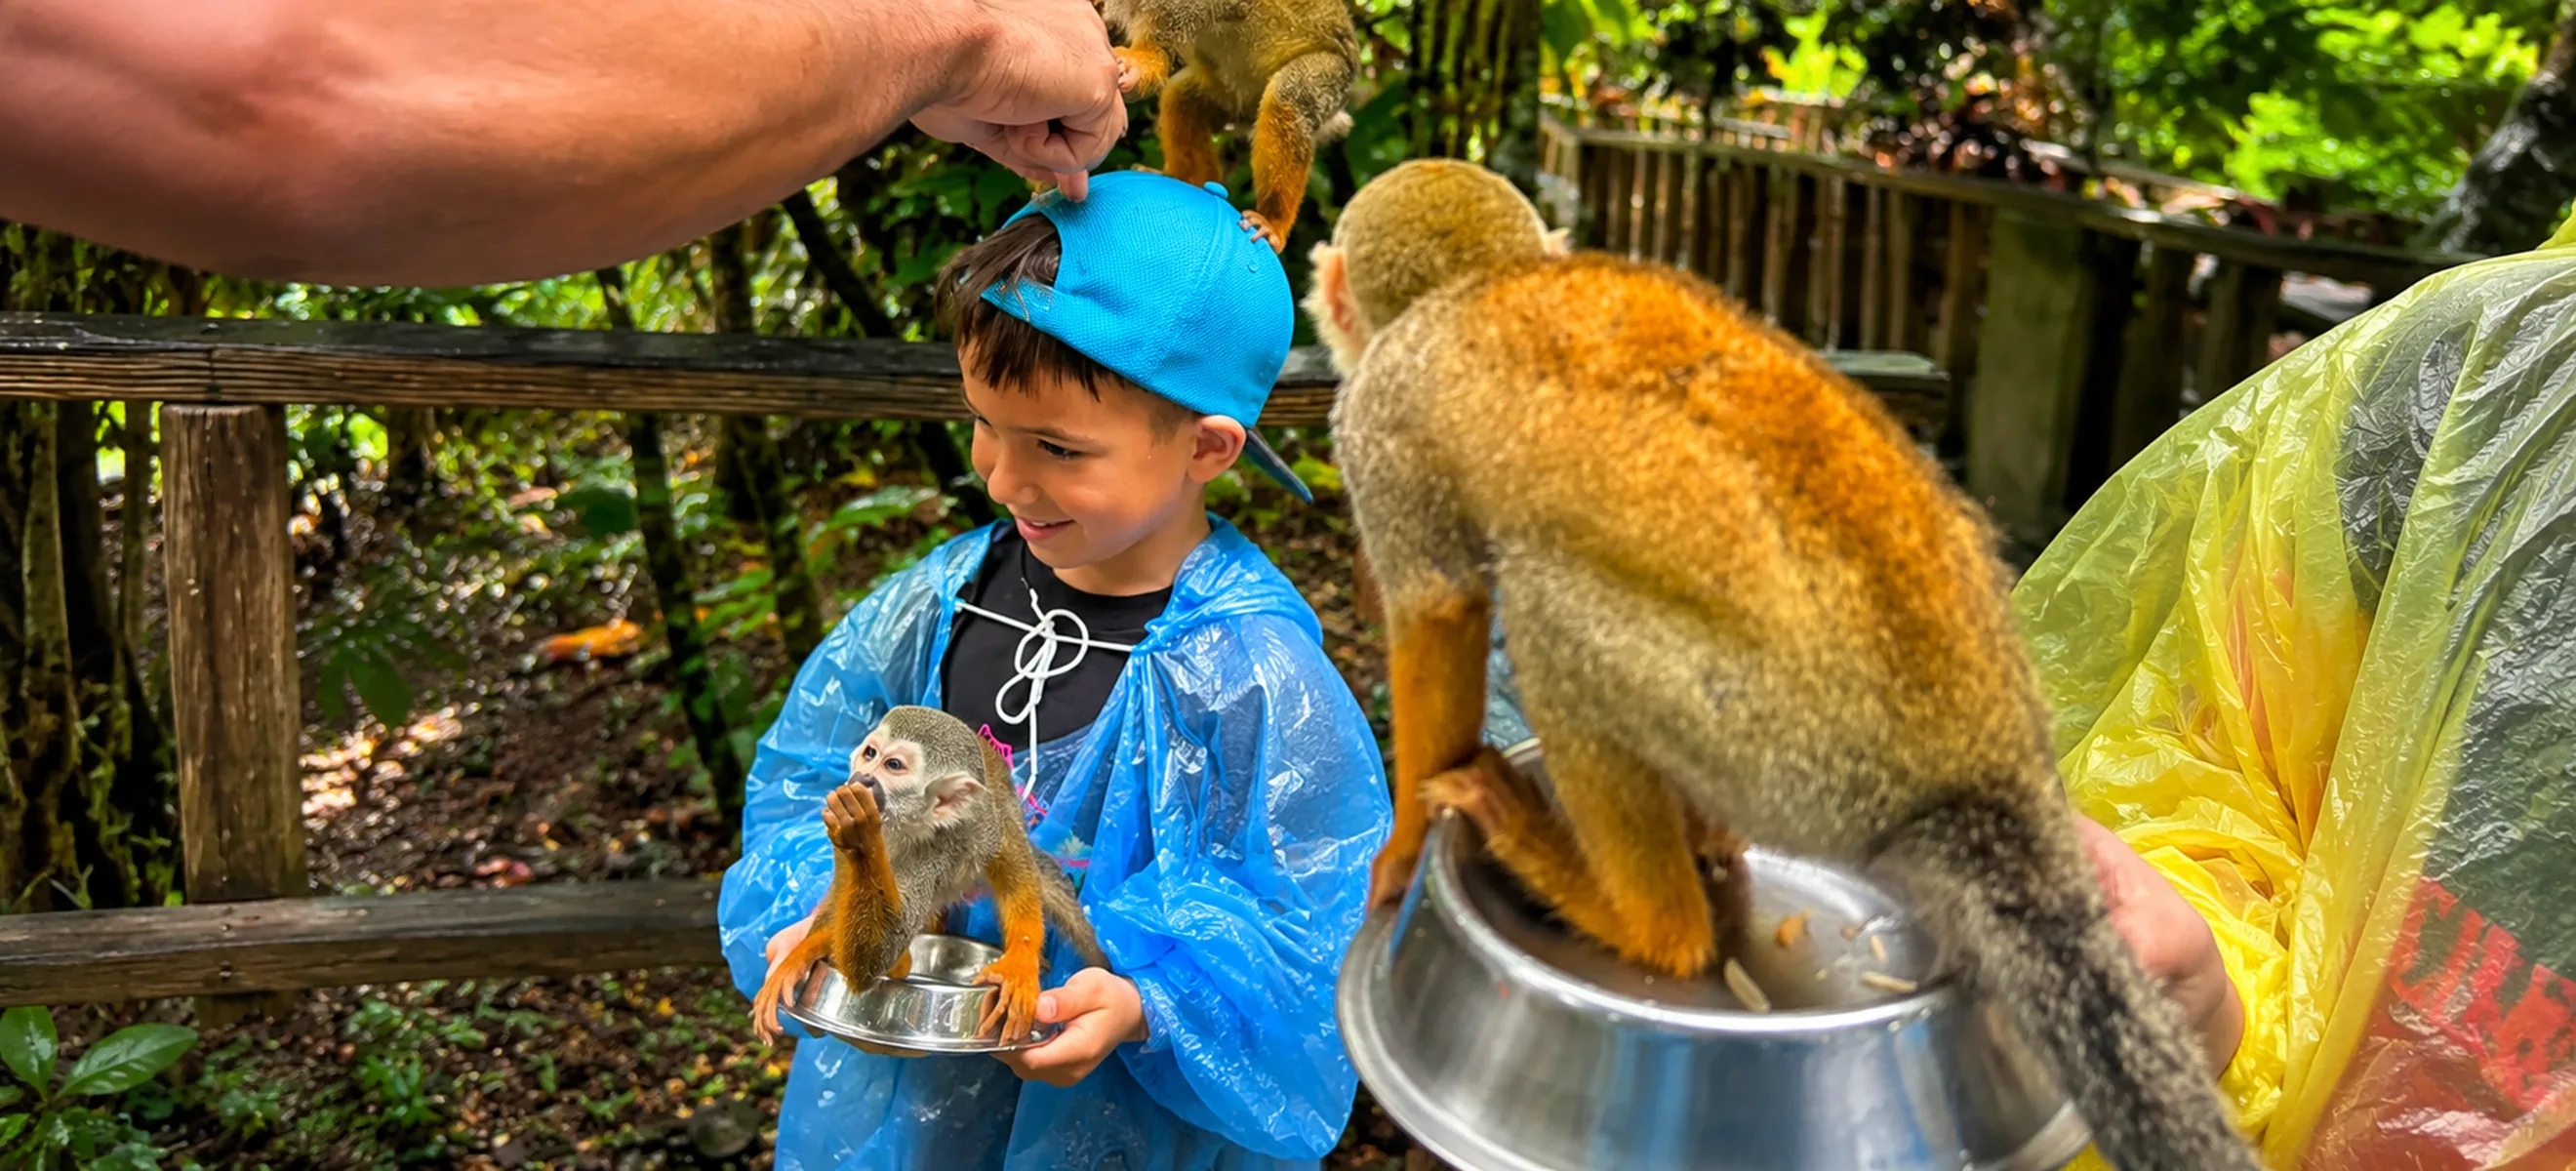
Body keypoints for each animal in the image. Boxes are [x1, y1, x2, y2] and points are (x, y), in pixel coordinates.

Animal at [750, 706, 1106, 1047]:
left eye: (893, 765)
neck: (905, 828)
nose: (863, 777)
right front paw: (801, 953)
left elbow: (870, 962)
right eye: (870, 753)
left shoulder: (947, 845)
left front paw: (861, 837)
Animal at [1103, 0, 1357, 253]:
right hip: (1234, 99)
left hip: (1334, 76)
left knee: (1289, 96)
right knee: (1182, 96)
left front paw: (1134, 67)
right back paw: (1183, 178)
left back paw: (1274, 225)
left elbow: (1161, 51)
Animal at [1302, 159, 2258, 1171]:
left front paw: (1400, 855)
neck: (1476, 285)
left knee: (1548, 613)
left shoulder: (1374, 427)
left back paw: (1643, 920)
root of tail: (1981, 763)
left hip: (1787, 747)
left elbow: (1439, 608)